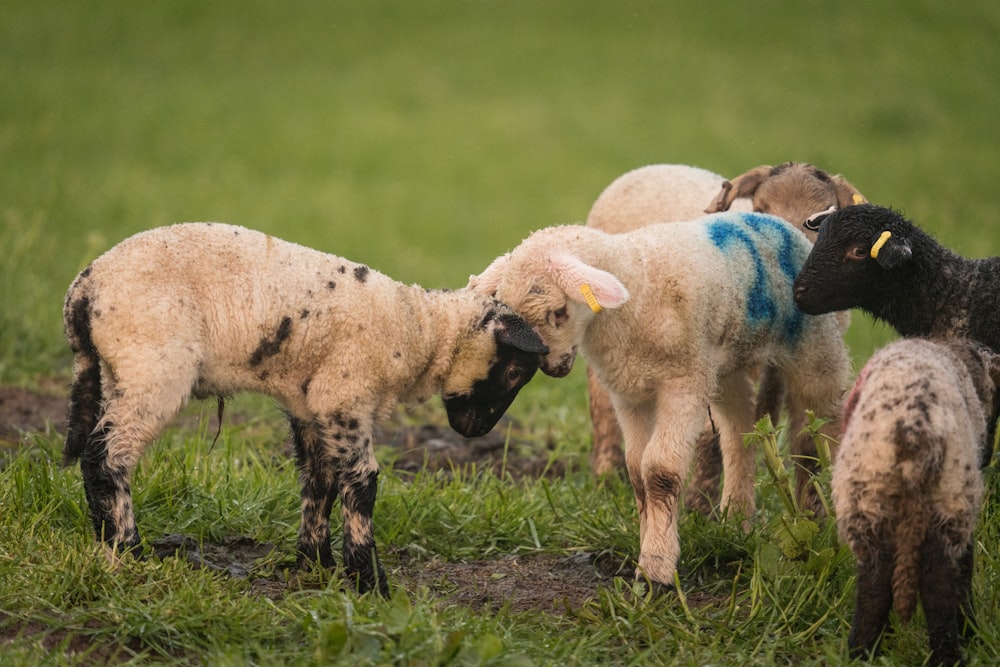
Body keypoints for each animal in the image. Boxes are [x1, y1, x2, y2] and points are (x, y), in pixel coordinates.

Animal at [62, 222, 548, 596]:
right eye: (514, 373)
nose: (475, 431)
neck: (418, 331)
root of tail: (84, 288)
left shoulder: (311, 406)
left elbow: (320, 483)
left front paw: (315, 563)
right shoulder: (345, 395)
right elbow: (361, 485)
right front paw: (370, 583)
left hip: (116, 370)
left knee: (93, 449)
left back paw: (105, 539)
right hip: (153, 366)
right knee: (107, 455)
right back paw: (128, 549)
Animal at [584, 162, 868, 516]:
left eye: (822, 218)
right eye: (760, 210)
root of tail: (644, 168)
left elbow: (806, 441)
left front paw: (811, 513)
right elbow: (713, 435)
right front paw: (700, 506)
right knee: (601, 403)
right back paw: (606, 474)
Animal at [836, 340, 1000, 667]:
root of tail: (916, 429)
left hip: (866, 492)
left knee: (878, 582)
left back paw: (861, 653)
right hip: (951, 493)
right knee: (941, 580)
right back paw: (952, 652)